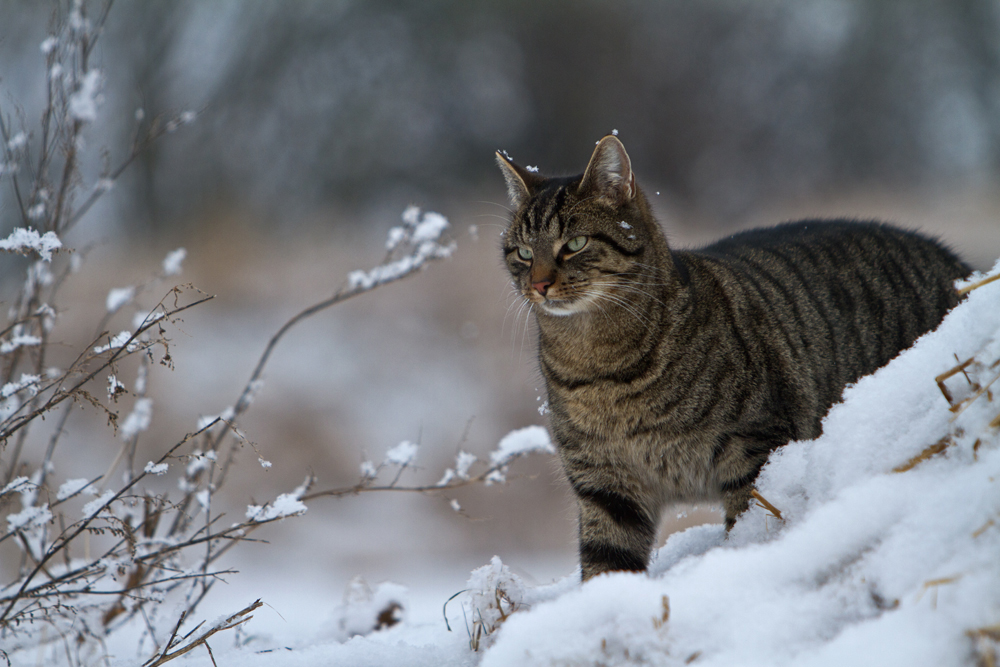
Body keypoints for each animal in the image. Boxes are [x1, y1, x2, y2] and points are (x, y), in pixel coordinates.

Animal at [496, 134, 972, 580]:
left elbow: (752, 523)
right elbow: (606, 567)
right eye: (523, 252)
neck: (596, 362)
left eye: (575, 243)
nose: (538, 284)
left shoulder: (754, 446)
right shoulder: (604, 485)